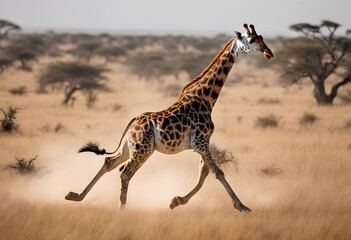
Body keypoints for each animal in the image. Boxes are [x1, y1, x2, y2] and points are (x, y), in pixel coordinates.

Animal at [66, 23, 276, 212]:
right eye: (251, 40)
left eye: (262, 37)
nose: (269, 53)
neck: (206, 98)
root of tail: (133, 122)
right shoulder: (201, 141)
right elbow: (218, 172)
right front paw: (242, 206)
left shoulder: (200, 144)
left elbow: (204, 173)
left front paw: (176, 201)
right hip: (143, 150)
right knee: (125, 173)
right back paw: (121, 210)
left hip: (130, 148)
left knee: (109, 162)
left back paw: (75, 196)